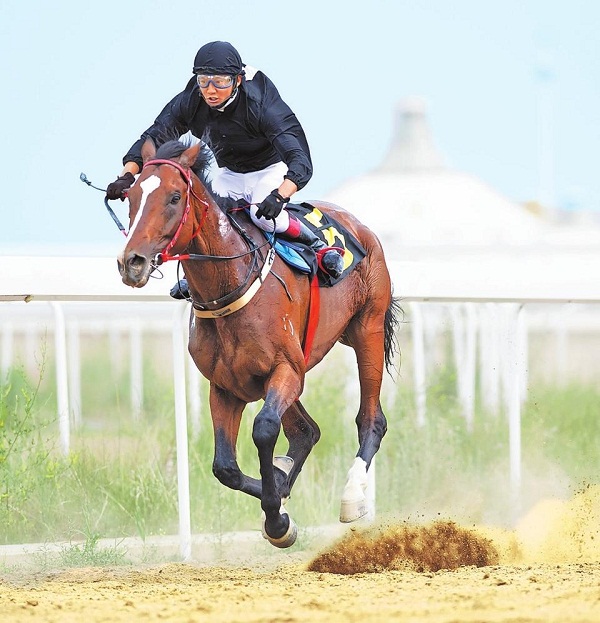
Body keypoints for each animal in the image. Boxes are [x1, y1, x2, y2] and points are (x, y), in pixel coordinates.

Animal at [117, 139, 400, 548]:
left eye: (173, 197)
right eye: (132, 196)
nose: (132, 262)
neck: (230, 284)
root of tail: (360, 227)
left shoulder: (286, 369)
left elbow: (265, 428)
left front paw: (277, 518)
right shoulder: (225, 386)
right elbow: (225, 468)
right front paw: (278, 492)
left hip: (368, 329)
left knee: (371, 420)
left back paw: (352, 495)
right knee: (306, 431)